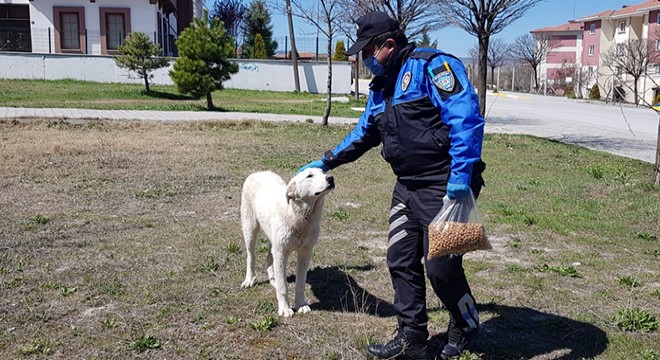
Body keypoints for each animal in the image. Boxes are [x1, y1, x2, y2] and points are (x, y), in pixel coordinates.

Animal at [240, 167, 336, 316]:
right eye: (309, 176)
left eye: (323, 172)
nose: (330, 178)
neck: (301, 217)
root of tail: (259, 172)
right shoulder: (281, 253)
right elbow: (283, 287)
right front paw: (285, 308)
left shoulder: (305, 253)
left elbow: (300, 284)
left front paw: (301, 305)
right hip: (250, 228)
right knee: (251, 256)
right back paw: (250, 279)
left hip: (273, 239)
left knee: (269, 257)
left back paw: (273, 279)